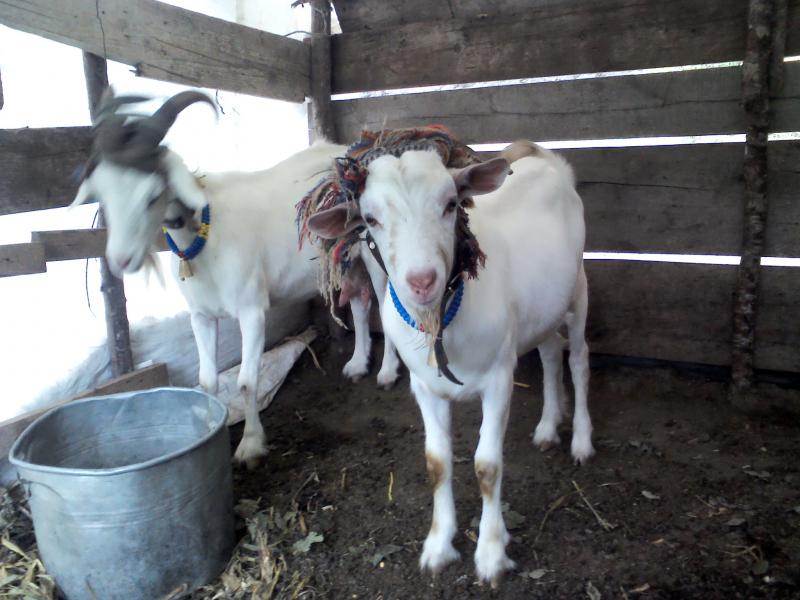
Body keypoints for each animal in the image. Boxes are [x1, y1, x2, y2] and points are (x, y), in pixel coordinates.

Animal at [72, 90, 400, 464]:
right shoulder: (200, 315)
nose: (120, 260)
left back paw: (387, 373)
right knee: (360, 303)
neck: (207, 232)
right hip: (343, 258)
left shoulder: (251, 310)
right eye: (103, 196)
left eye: (152, 196)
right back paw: (358, 364)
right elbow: (207, 380)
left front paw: (251, 445)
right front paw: (210, 427)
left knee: (385, 304)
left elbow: (246, 381)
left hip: (376, 255)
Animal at [308, 139, 592, 580]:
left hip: (578, 285)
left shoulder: (499, 380)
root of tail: (546, 159)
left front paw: (491, 554)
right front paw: (439, 547)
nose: (422, 280)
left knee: (578, 358)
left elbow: (487, 466)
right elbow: (437, 463)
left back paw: (580, 440)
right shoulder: (425, 388)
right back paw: (548, 427)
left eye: (450, 204)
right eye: (370, 219)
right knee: (550, 353)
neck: (442, 321)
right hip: (543, 309)